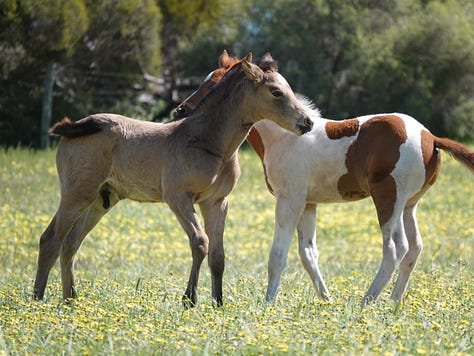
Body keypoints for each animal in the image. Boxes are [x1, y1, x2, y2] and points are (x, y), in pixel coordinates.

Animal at [33, 58, 314, 306]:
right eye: (276, 92)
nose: (308, 122)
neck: (206, 141)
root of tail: (77, 126)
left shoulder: (217, 202)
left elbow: (218, 255)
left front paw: (218, 303)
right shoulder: (178, 197)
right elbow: (200, 242)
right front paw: (189, 299)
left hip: (100, 200)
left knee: (70, 244)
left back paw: (71, 300)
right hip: (77, 193)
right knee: (50, 240)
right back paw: (38, 300)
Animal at [174, 50, 474, 308]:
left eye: (215, 82)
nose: (181, 110)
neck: (285, 136)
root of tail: (430, 137)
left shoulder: (289, 200)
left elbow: (278, 255)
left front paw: (268, 303)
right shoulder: (309, 204)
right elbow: (308, 254)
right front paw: (326, 299)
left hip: (389, 198)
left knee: (394, 248)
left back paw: (367, 301)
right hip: (410, 204)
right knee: (414, 248)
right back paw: (393, 302)